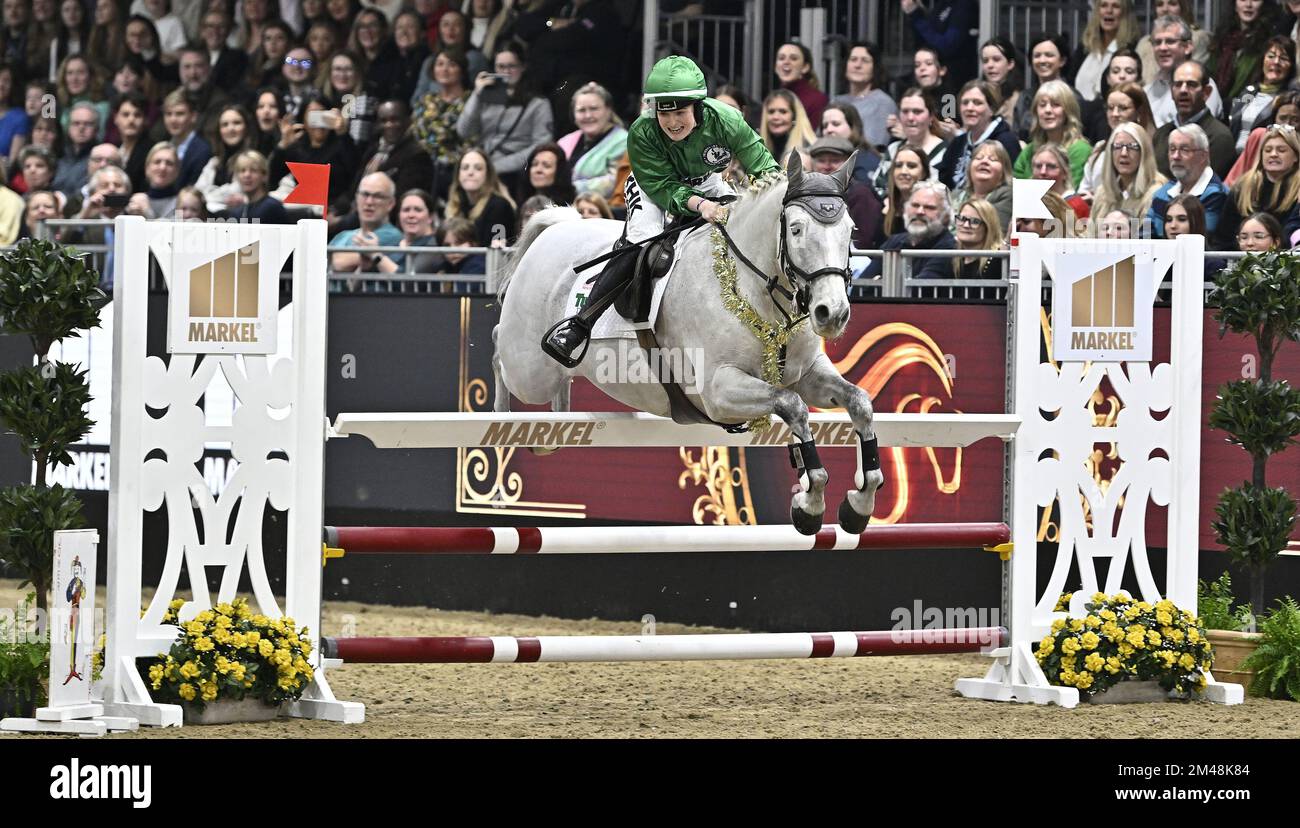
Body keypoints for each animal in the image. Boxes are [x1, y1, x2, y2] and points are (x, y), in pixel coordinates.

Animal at [491, 152, 889, 532]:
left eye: (850, 231)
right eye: (796, 229)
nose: (832, 314)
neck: (749, 288)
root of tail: (559, 226)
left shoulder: (807, 375)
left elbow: (859, 402)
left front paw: (859, 502)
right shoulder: (718, 392)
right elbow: (793, 406)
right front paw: (810, 504)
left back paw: (555, 423)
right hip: (529, 369)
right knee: (501, 353)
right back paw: (505, 414)